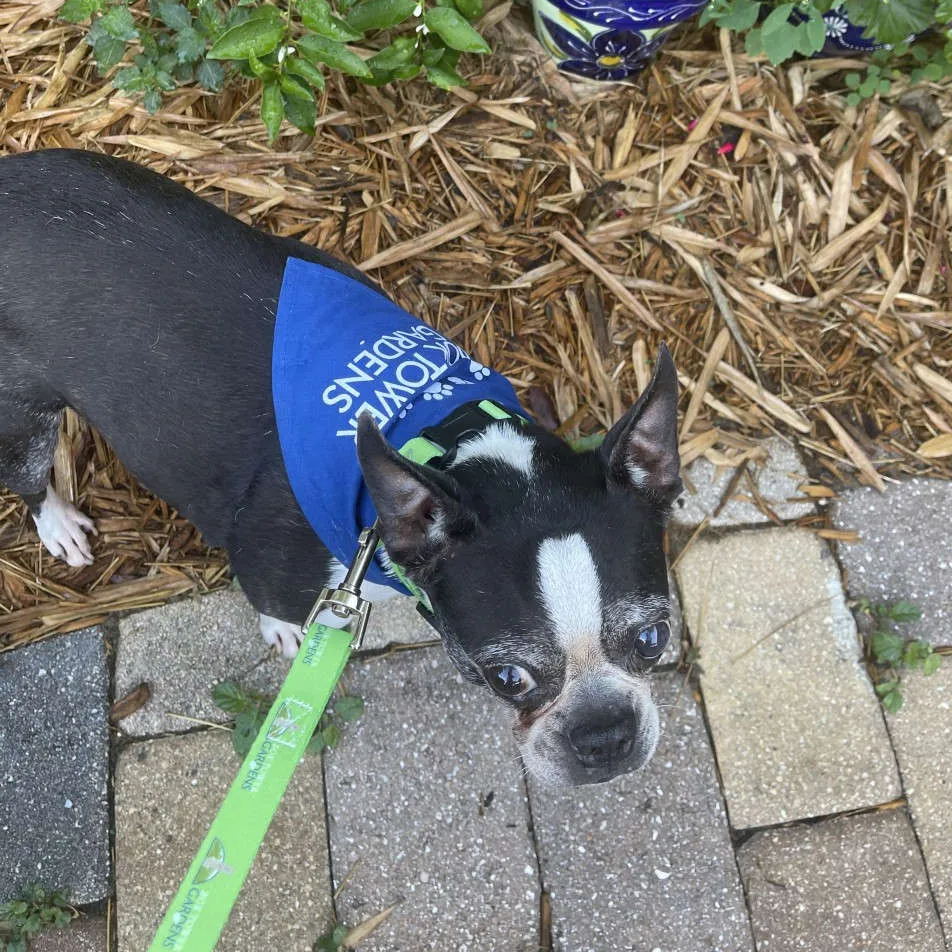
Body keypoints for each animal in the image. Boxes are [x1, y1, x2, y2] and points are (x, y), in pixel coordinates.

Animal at [1, 151, 684, 788]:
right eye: (507, 677)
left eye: (655, 639)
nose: (605, 736)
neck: (434, 432)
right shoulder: (265, 560)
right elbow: (271, 603)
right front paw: (285, 633)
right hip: (23, 420)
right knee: (28, 477)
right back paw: (58, 524)